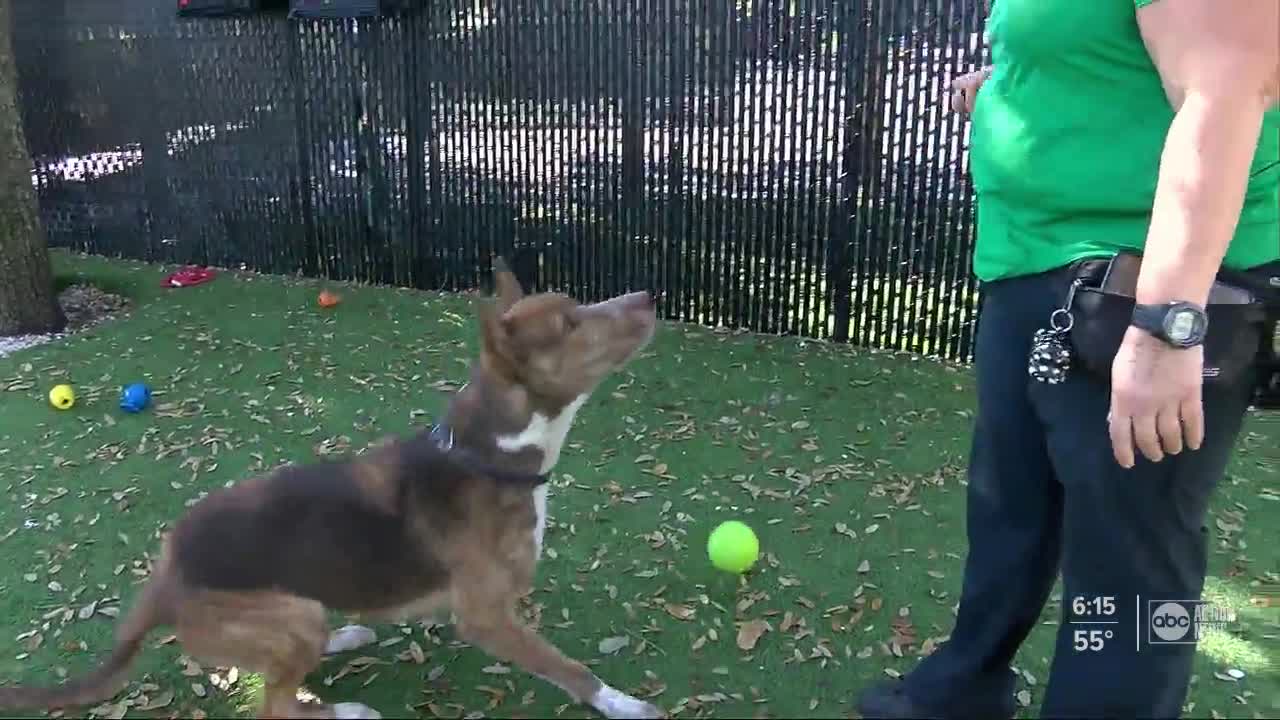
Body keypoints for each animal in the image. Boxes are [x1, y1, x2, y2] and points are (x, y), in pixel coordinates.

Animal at [0, 263, 660, 717]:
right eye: (570, 324)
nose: (647, 296)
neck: (490, 453)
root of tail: (162, 578)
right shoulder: (486, 618)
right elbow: (570, 668)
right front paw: (622, 704)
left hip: (300, 613)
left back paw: (346, 635)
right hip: (289, 615)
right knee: (275, 707)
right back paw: (349, 709)